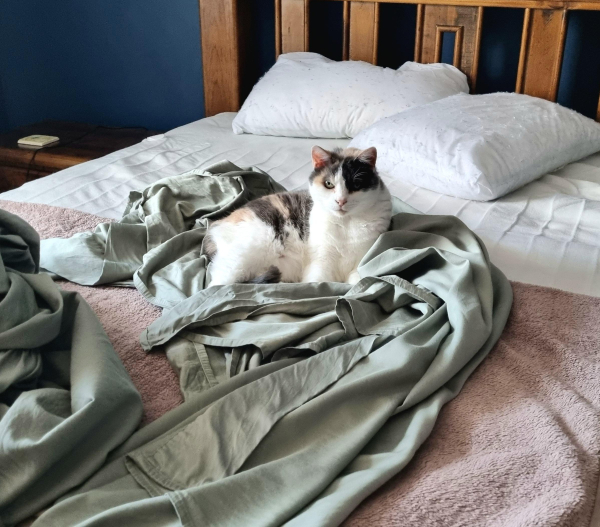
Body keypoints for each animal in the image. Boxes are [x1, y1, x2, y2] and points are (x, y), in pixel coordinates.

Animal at [205, 146, 394, 286]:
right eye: (328, 184)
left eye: (356, 184)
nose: (340, 201)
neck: (345, 224)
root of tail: (218, 223)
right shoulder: (320, 259)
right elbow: (318, 282)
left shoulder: (363, 259)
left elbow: (359, 282)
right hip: (245, 252)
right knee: (217, 285)